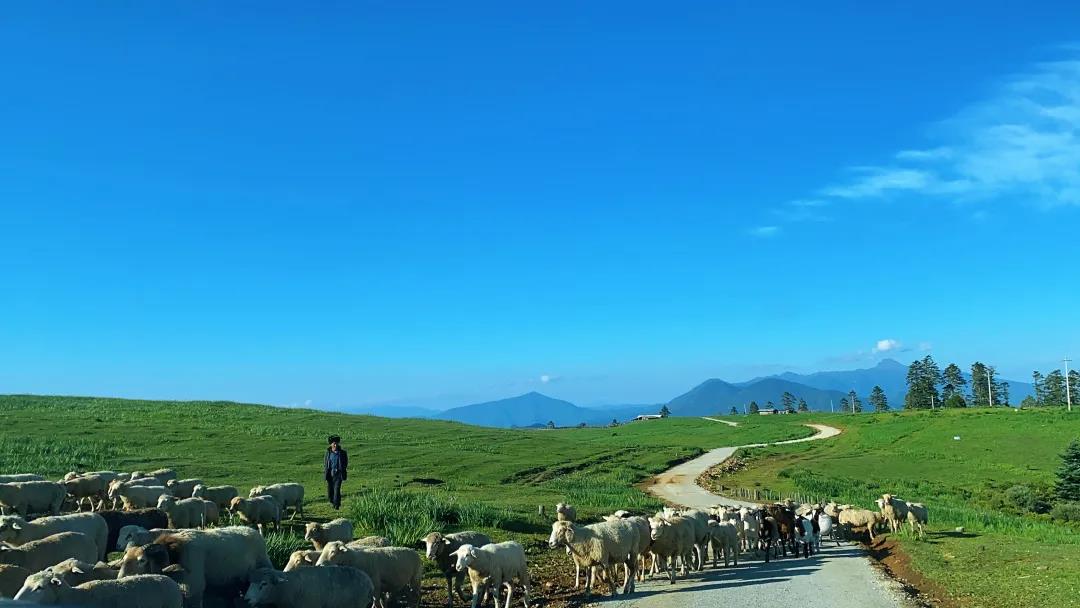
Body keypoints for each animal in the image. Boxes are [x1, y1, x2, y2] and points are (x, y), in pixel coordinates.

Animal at [115, 524, 270, 608]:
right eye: (123, 560)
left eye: (142, 560)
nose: (121, 579)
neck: (177, 551)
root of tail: (250, 529)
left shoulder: (194, 589)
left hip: (263, 562)